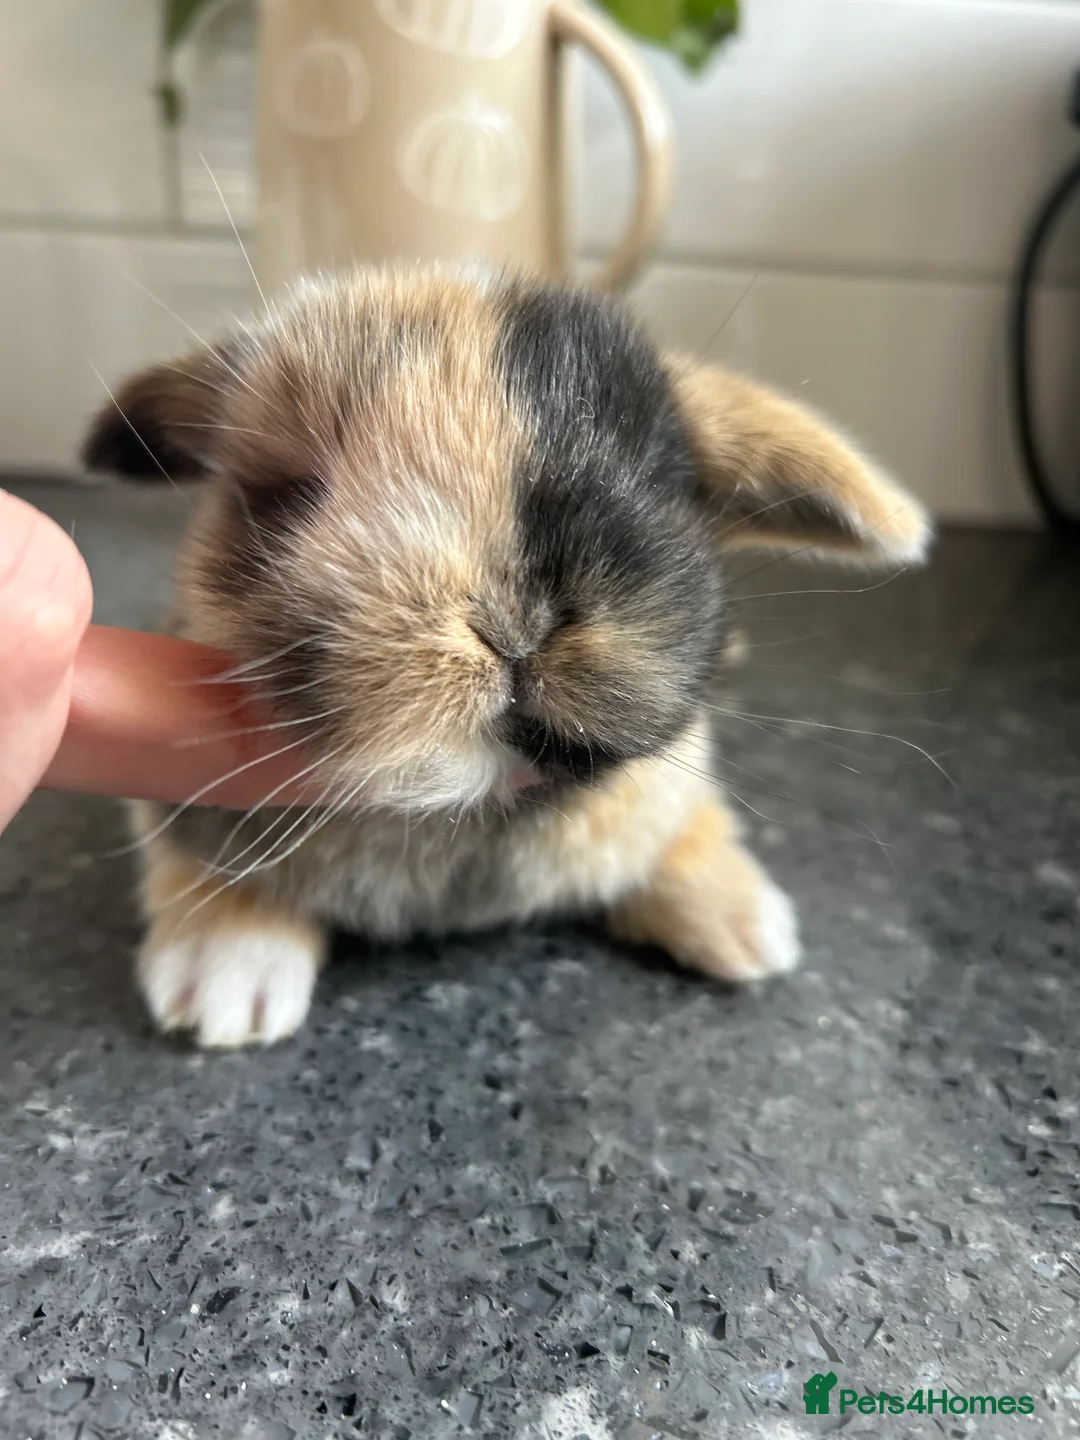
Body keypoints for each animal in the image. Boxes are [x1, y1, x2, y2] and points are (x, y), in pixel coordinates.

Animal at [82, 265, 930, 1048]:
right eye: (292, 491)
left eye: (661, 478)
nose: (512, 623)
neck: (461, 812)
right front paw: (223, 983)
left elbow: (687, 829)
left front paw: (751, 930)